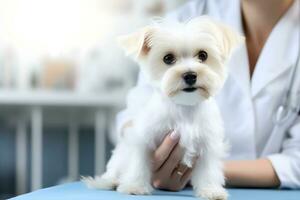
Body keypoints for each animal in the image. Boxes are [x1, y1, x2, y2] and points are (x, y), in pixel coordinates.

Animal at [83, 17, 243, 200]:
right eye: (168, 58)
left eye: (203, 55)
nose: (190, 75)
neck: (185, 107)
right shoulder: (142, 138)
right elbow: (138, 162)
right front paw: (135, 186)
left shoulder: (208, 143)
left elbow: (209, 169)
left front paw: (211, 190)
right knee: (113, 170)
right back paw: (110, 181)